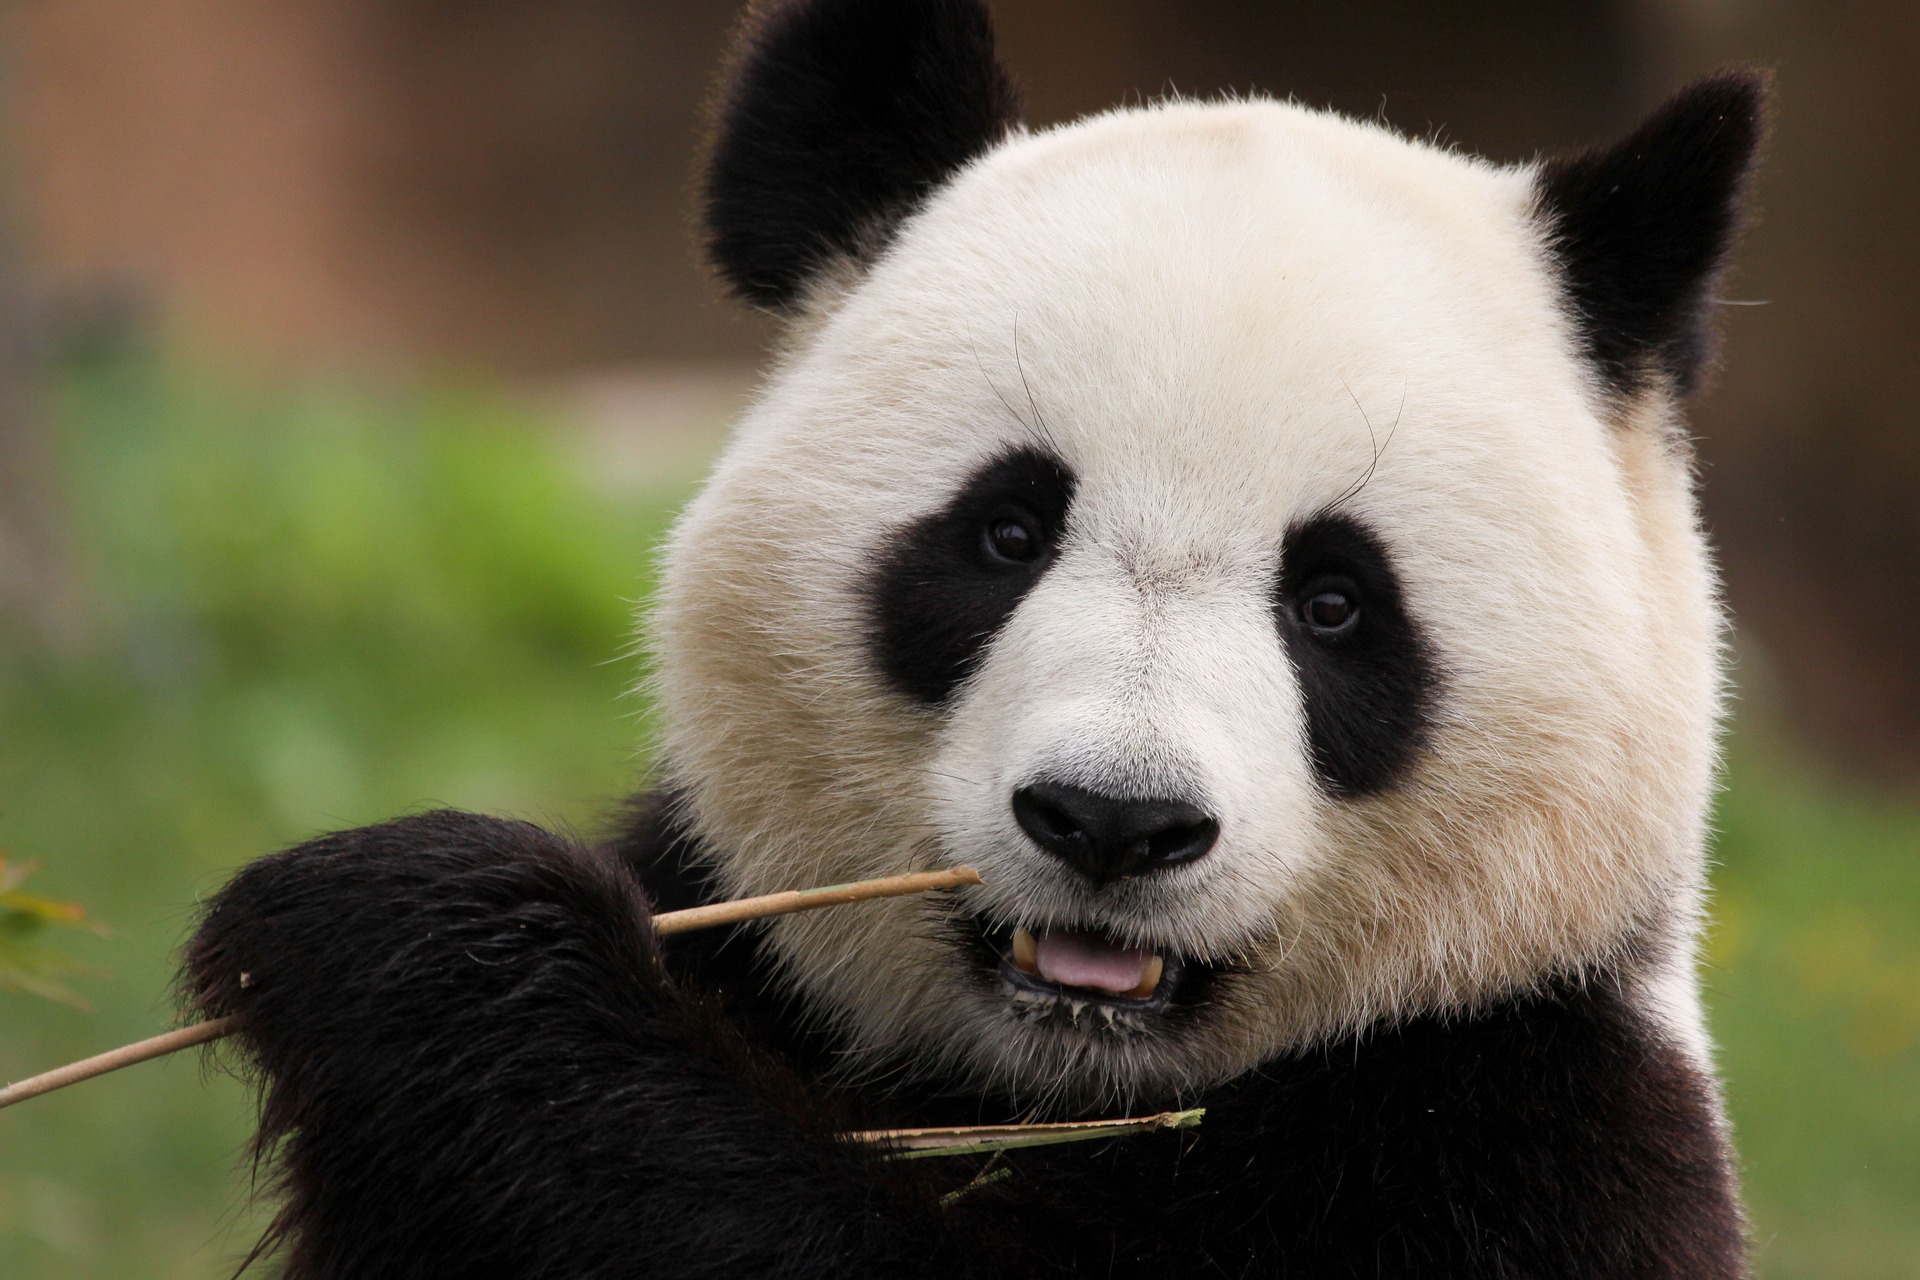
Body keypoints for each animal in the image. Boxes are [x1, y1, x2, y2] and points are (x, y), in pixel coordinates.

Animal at [183, 2, 1766, 1280]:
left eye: (1335, 602)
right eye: (1007, 532)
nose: (1113, 822)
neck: (1054, 1089)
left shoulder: (1507, 1141)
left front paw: (405, 924)